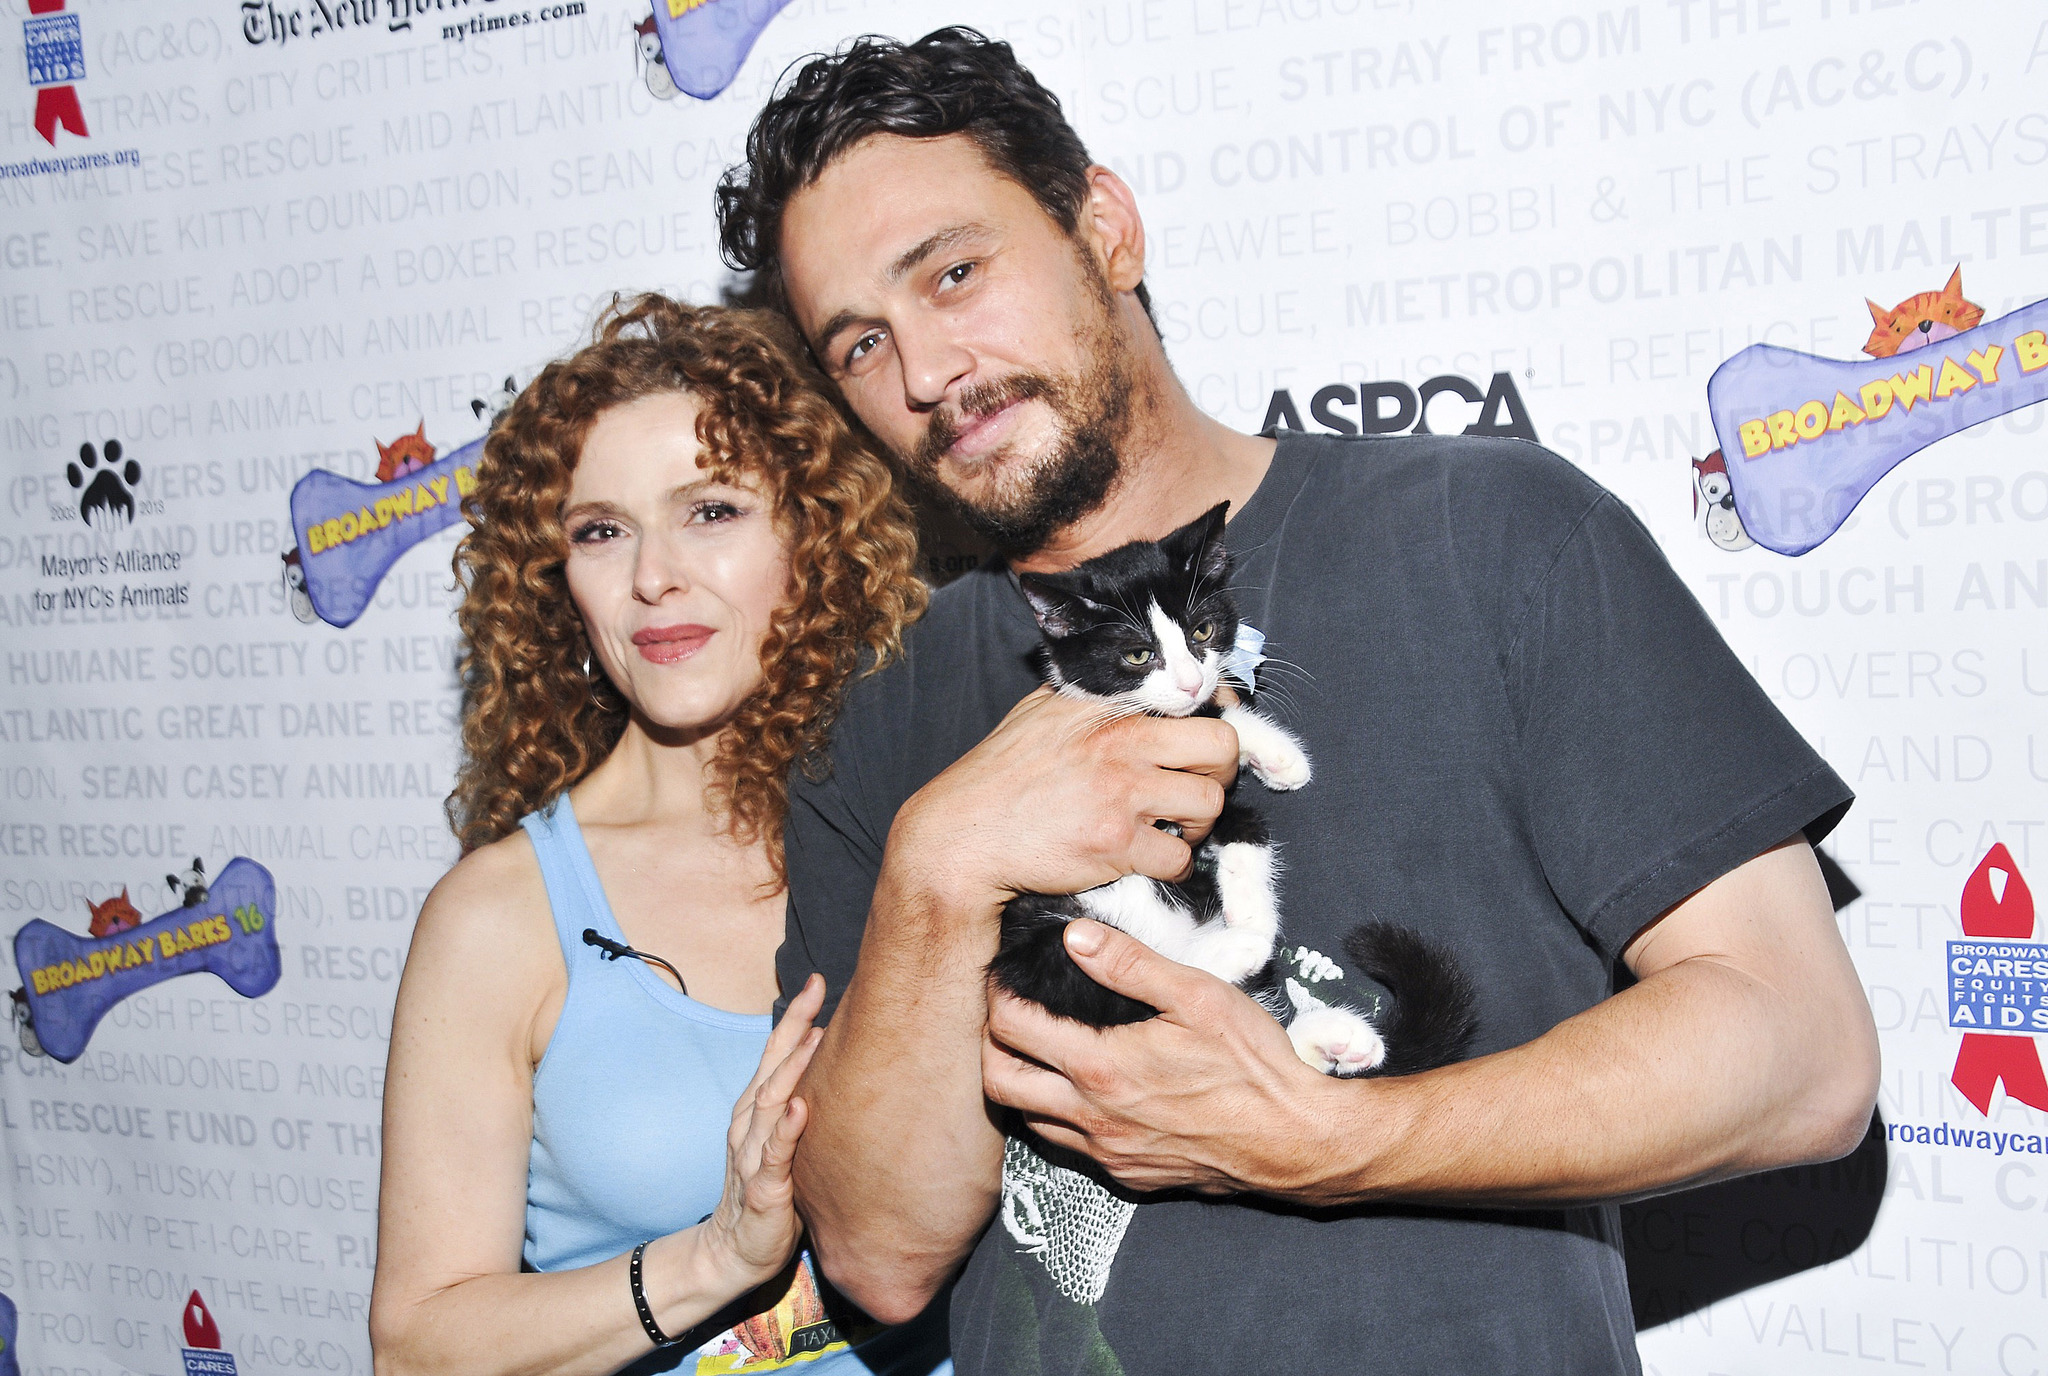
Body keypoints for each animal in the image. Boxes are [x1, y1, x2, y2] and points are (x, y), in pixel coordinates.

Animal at [987, 499, 1474, 1081]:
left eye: (1202, 630)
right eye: (1137, 655)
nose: (1191, 681)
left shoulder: (1215, 809)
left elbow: (1246, 817)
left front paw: (1279, 761)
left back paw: (1335, 1032)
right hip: (1038, 936)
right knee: (1118, 979)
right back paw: (1244, 950)